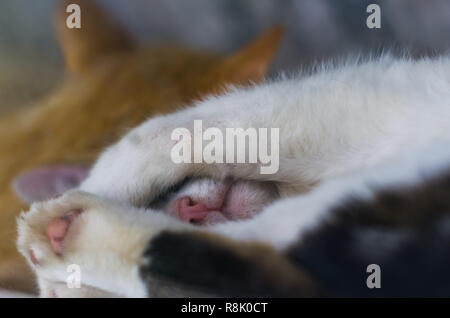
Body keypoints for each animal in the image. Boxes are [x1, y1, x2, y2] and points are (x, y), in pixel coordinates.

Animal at [15, 54, 450, 296]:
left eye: (166, 196)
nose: (188, 210)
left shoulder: (331, 104)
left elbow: (161, 133)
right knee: (258, 255)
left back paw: (61, 234)